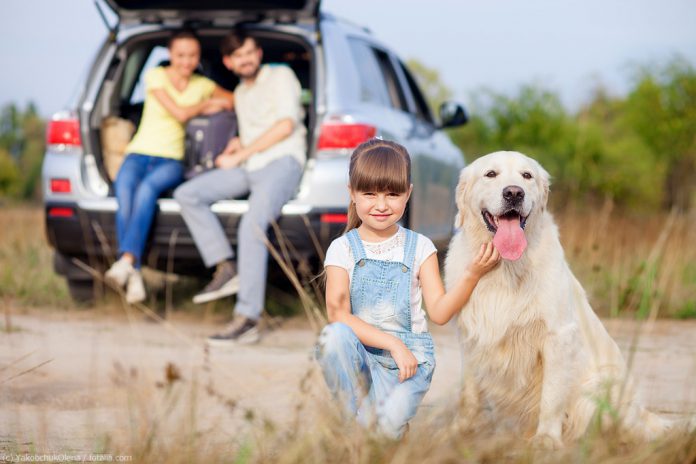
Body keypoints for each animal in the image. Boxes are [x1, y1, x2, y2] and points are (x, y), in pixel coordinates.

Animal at [444, 150, 684, 448]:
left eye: (527, 175)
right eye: (491, 174)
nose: (514, 193)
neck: (505, 268)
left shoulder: (557, 336)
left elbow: (552, 396)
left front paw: (546, 439)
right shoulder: (470, 335)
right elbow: (468, 395)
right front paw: (458, 433)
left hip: (601, 387)